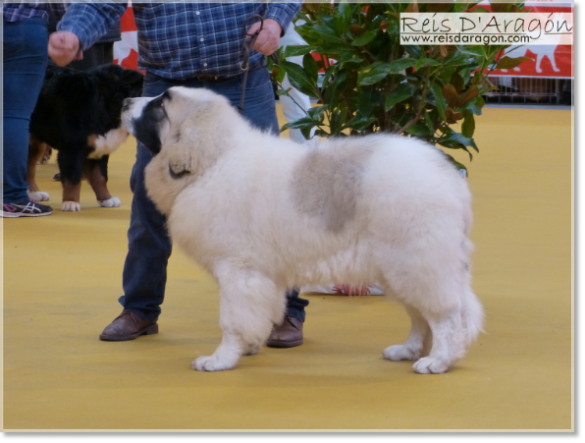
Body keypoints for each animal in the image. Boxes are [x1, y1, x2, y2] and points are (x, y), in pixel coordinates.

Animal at [28, 62, 144, 213]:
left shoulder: (101, 146)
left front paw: (106, 199)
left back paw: (34, 193)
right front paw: (70, 202)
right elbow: (73, 179)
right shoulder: (72, 148)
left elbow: (100, 176)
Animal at [121, 87, 482, 374]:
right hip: (400, 268)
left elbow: (232, 320)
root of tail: (446, 173)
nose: (124, 101)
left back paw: (438, 360)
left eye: (160, 104)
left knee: (446, 315)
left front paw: (221, 359)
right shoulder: (260, 277)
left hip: (416, 262)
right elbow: (257, 313)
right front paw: (248, 347)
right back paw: (408, 350)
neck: (213, 161)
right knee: (420, 314)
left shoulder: (237, 271)